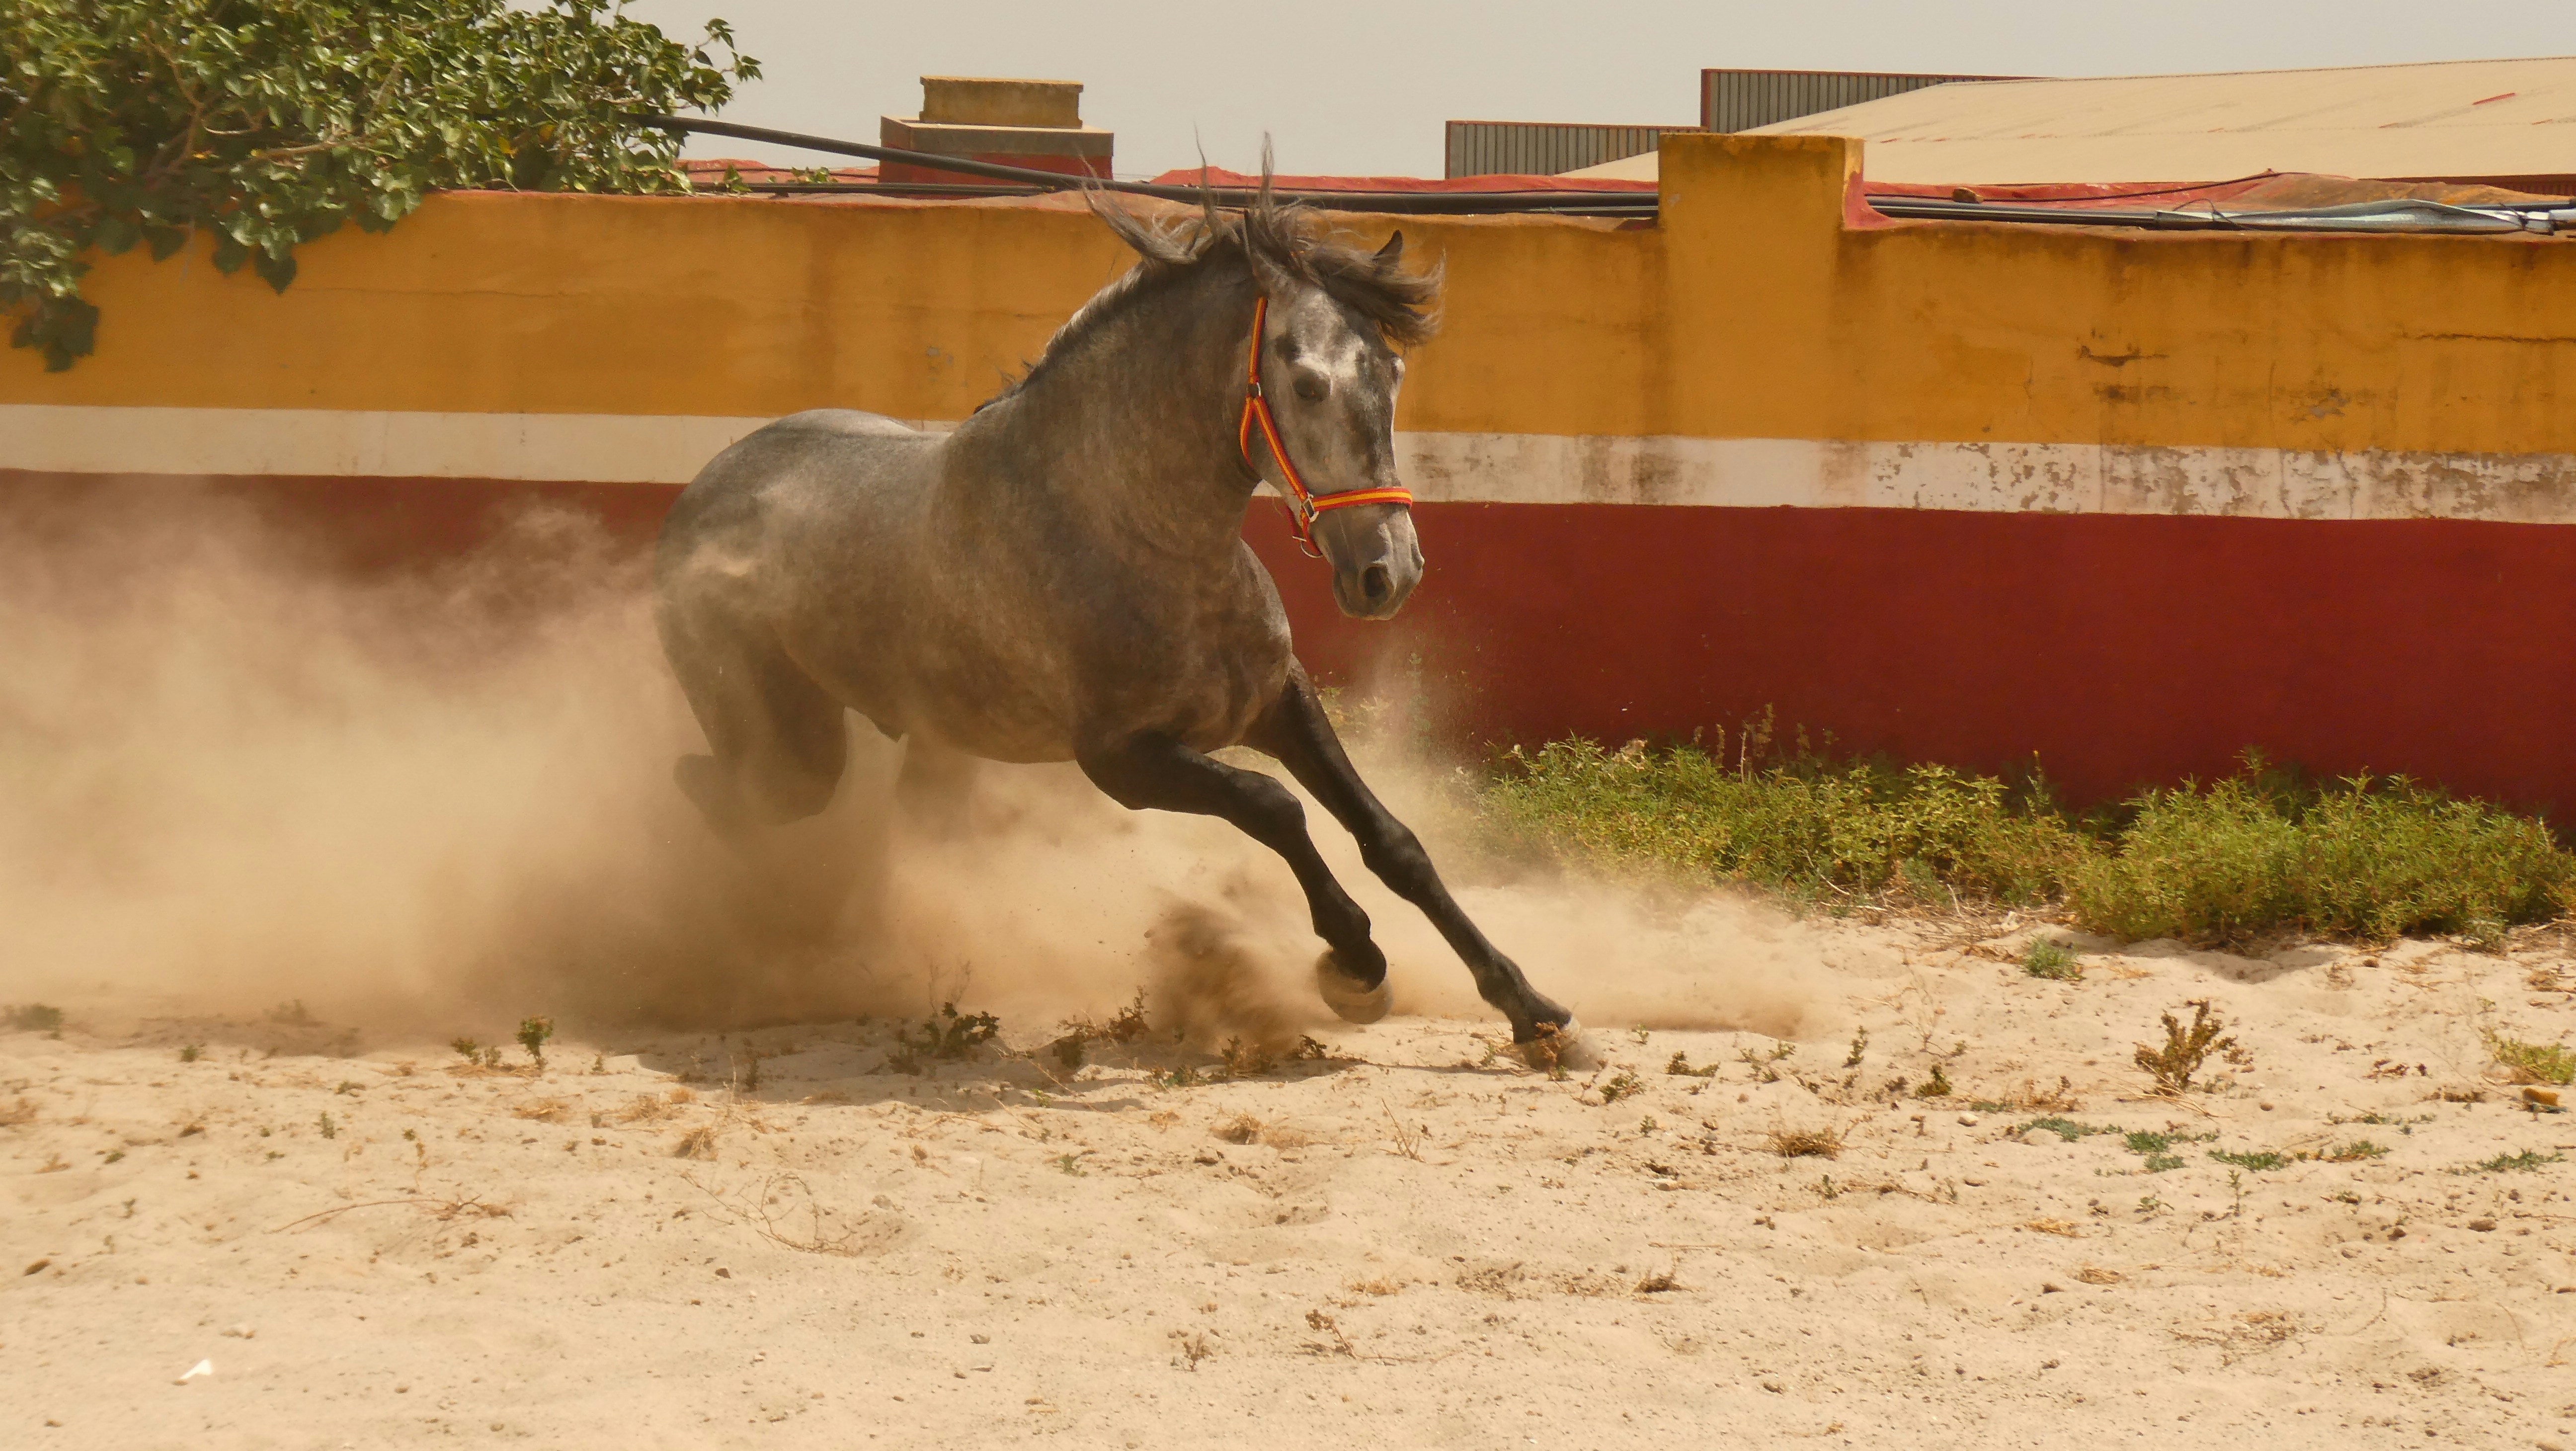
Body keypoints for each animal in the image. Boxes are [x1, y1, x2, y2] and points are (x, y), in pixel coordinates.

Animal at [652, 185, 1578, 1050]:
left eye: (1391, 375)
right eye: (1309, 383)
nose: (1389, 571)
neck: (1137, 537)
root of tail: (698, 496)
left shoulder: (1278, 701)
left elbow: (1391, 840)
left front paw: (1530, 1007)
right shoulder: (1119, 759)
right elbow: (1273, 806)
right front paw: (1355, 965)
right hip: (789, 754)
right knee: (713, 791)